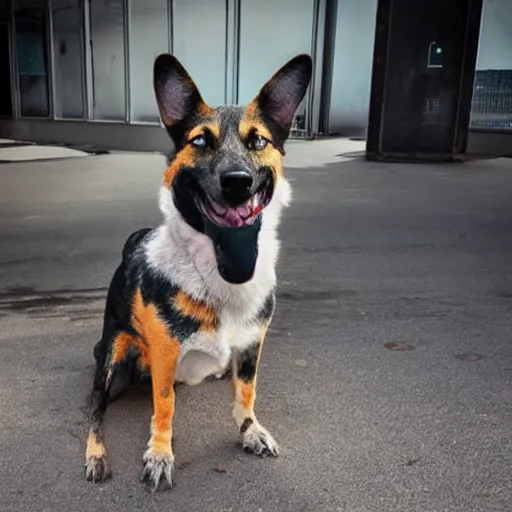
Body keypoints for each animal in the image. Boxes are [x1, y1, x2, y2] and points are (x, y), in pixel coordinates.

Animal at [84, 52, 312, 492]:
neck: (224, 270)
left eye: (258, 141)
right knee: (94, 410)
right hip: (110, 361)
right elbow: (164, 407)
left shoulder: (252, 345)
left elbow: (247, 392)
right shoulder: (165, 355)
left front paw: (250, 429)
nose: (238, 182)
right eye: (201, 140)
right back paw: (95, 454)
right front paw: (160, 453)